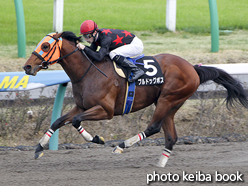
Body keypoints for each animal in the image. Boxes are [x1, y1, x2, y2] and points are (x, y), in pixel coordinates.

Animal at [23, 31, 248, 166]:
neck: (89, 71)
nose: (27, 66)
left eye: (45, 46)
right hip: (171, 103)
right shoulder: (81, 106)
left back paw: (121, 146)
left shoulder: (106, 110)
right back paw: (160, 165)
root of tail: (193, 68)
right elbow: (58, 121)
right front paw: (39, 148)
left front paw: (97, 139)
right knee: (171, 137)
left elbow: (76, 121)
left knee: (154, 127)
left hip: (168, 99)